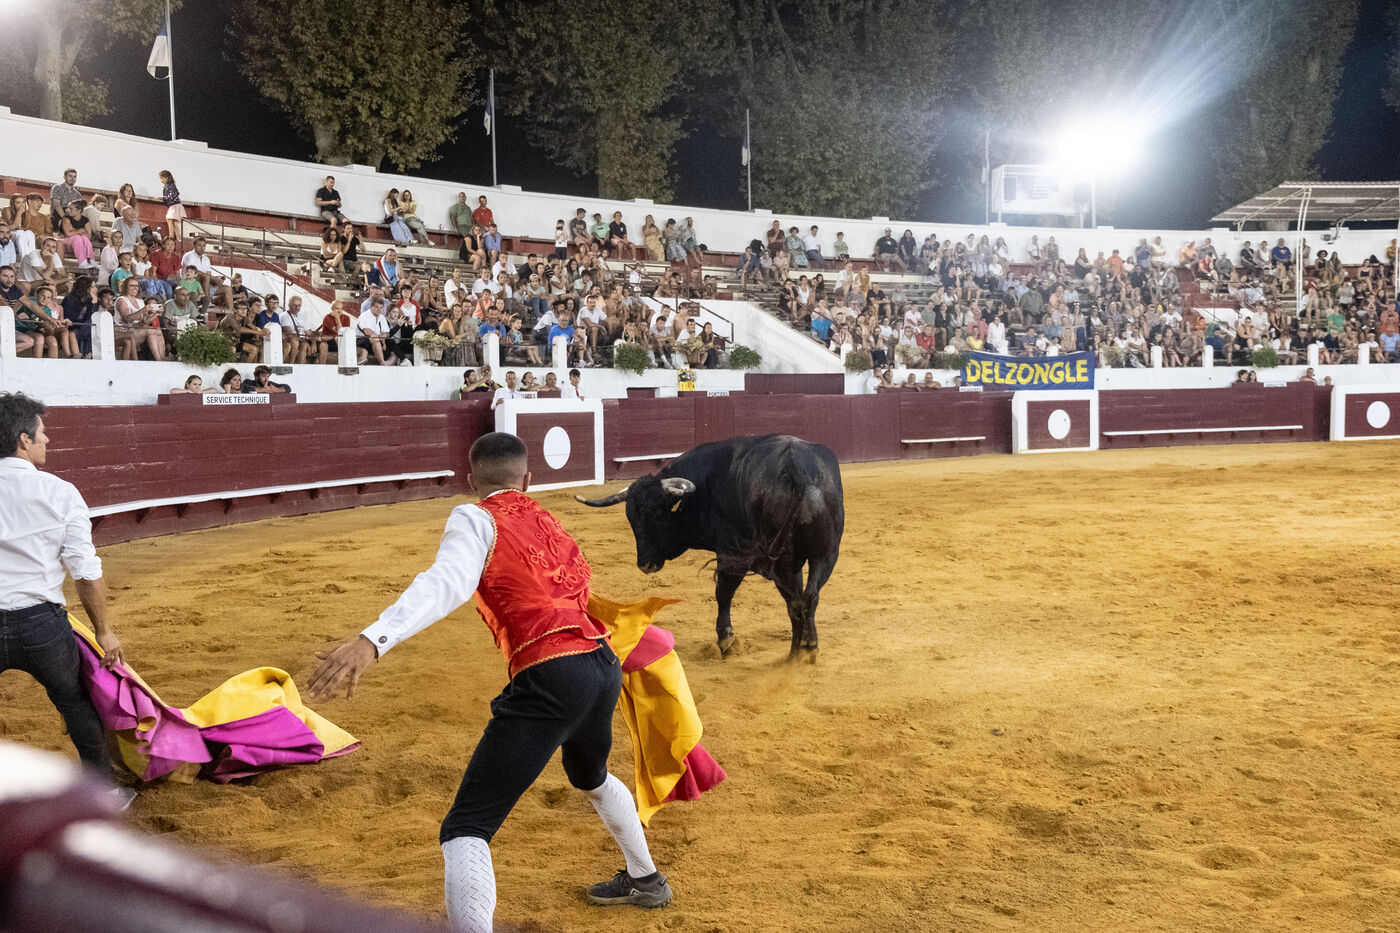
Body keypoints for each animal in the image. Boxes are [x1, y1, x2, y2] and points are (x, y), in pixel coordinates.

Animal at [576, 434, 844, 659]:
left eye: (657, 514)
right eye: (631, 518)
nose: (645, 564)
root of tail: (797, 471)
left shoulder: (731, 554)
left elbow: (723, 592)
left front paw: (726, 640)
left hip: (783, 561)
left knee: (795, 601)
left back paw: (796, 654)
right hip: (825, 555)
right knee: (808, 597)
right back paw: (807, 649)